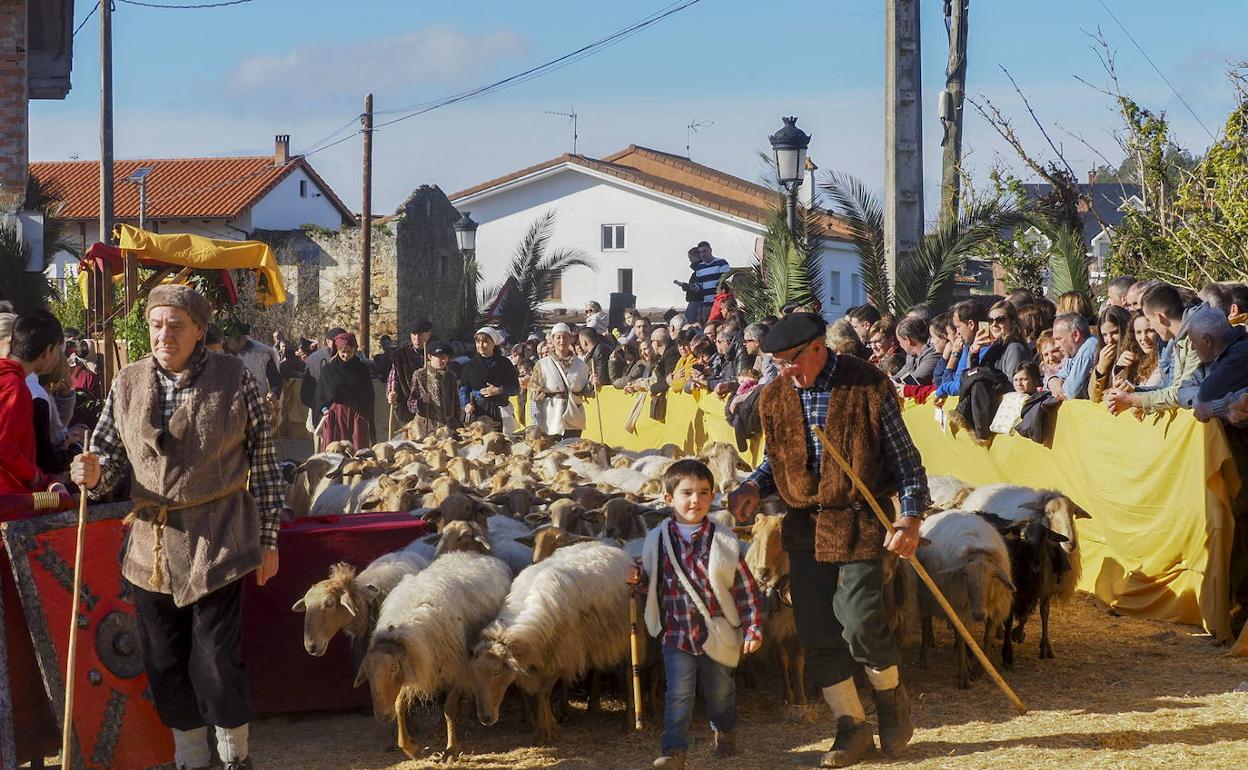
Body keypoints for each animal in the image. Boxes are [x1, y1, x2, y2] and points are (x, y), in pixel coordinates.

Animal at [354, 549, 509, 758]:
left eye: (393, 668)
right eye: (369, 674)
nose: (382, 716)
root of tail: (477, 554)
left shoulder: (456, 667)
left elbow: (449, 710)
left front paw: (451, 748)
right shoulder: (413, 667)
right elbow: (399, 705)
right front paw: (409, 747)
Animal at [471, 536, 638, 743]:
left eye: (497, 673)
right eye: (475, 675)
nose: (485, 718)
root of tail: (611, 547)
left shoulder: (561, 654)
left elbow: (543, 691)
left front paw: (546, 731)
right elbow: (539, 693)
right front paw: (545, 728)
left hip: (623, 633)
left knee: (629, 673)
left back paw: (628, 721)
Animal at [918, 506, 1013, 688]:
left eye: (993, 577)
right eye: (965, 575)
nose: (979, 614)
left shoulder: (995, 609)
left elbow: (988, 637)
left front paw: (979, 669)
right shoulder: (958, 606)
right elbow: (962, 638)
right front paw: (963, 675)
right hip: (927, 594)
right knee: (925, 623)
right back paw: (924, 659)